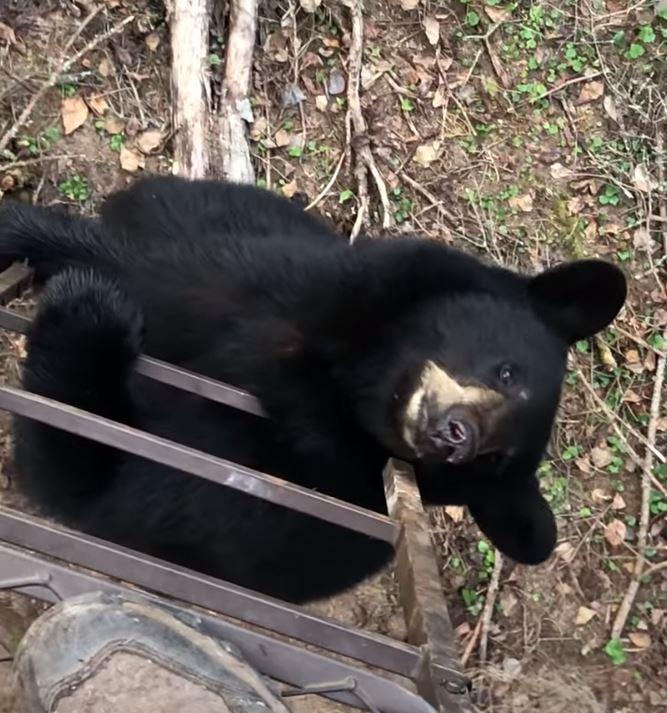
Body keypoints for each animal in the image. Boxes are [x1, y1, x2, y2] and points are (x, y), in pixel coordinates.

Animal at [0, 176, 627, 603]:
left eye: (493, 460)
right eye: (507, 372)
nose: (458, 436)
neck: (347, 385)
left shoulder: (268, 496)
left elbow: (95, 476)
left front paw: (91, 307)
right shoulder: (304, 289)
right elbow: (166, 268)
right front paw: (26, 232)